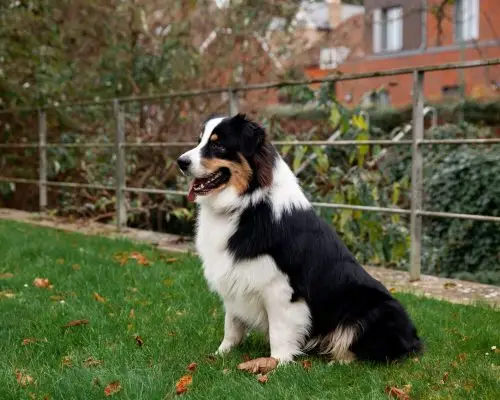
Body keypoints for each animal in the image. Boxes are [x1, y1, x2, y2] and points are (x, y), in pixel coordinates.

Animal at [178, 114, 424, 364]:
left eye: (218, 145)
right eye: (199, 141)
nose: (180, 162)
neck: (247, 202)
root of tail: (414, 339)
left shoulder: (280, 287)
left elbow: (279, 330)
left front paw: (278, 363)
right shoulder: (234, 276)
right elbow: (232, 324)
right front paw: (221, 354)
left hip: (374, 309)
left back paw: (336, 361)